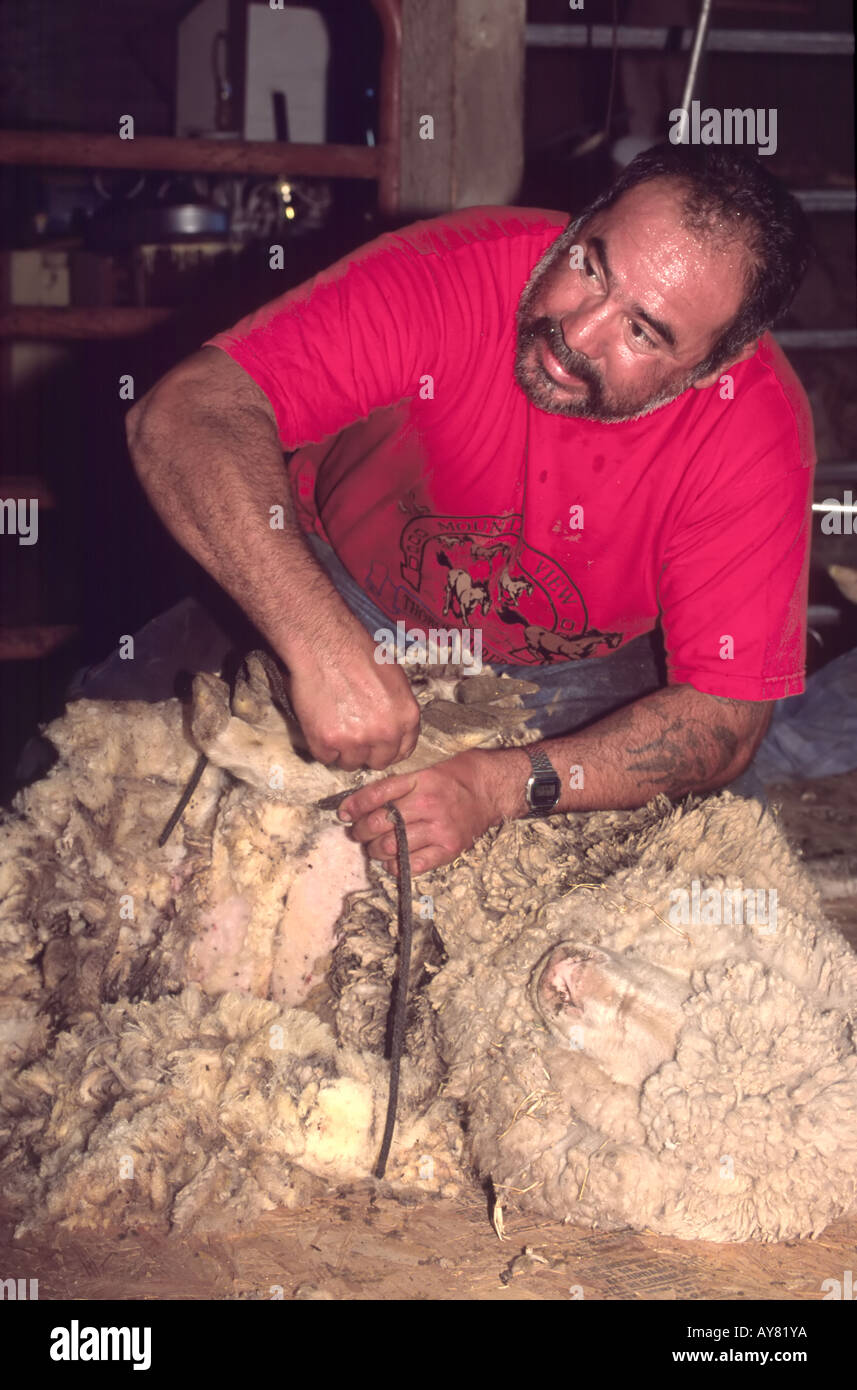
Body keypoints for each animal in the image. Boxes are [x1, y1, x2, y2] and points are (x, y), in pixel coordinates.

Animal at [1, 656, 855, 1245]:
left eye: (646, 1106)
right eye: (712, 975)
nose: (564, 973)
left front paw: (225, 720)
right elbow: (346, 761)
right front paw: (238, 706)